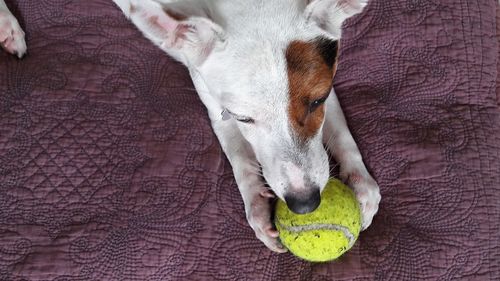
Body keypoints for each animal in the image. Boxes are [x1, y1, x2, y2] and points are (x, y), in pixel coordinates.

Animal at [1, 0, 380, 253]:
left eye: (317, 101)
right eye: (242, 118)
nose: (304, 204)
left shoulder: (327, 83)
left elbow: (340, 135)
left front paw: (361, 183)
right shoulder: (212, 99)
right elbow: (239, 158)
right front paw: (255, 205)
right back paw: (7, 25)